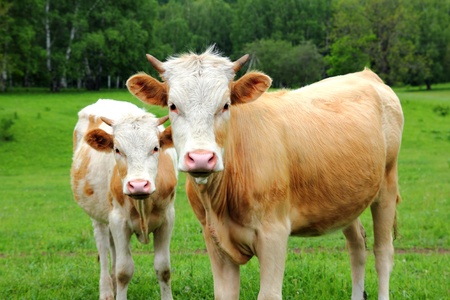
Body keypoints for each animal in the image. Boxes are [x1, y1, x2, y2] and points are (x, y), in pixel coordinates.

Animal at [70, 99, 176, 298]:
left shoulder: (167, 219)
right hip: (98, 216)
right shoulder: (119, 220)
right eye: (117, 149)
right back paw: (106, 291)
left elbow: (163, 269)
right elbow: (124, 271)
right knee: (104, 248)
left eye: (156, 147)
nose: (139, 185)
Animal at [126, 47, 404, 300]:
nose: (201, 158)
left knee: (383, 253)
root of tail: (367, 75)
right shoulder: (213, 238)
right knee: (357, 246)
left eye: (225, 105)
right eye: (173, 106)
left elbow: (269, 294)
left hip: (387, 186)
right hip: (347, 200)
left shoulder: (274, 234)